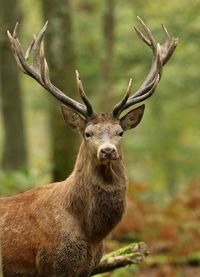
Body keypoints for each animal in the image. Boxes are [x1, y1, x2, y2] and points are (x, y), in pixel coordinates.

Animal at [0, 18, 178, 274]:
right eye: (87, 133)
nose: (107, 150)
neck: (92, 233)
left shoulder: (89, 267)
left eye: (120, 132)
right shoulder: (51, 263)